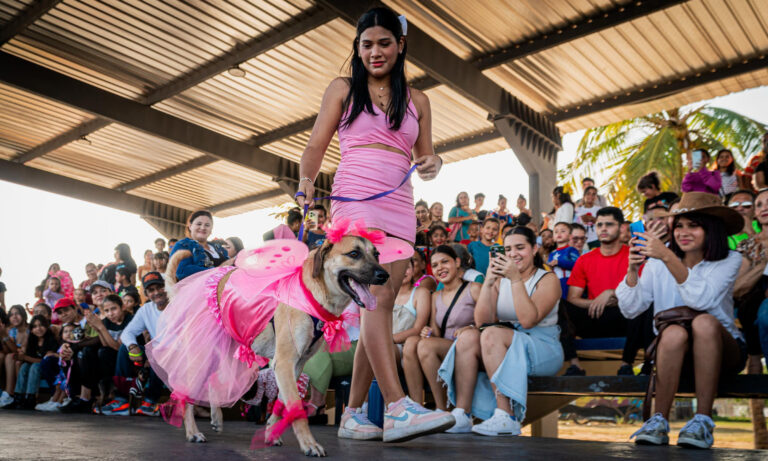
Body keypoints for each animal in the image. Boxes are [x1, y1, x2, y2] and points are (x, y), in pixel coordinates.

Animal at [164, 237, 388, 456]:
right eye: (354, 253)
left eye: (376, 254)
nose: (384, 275)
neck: (311, 292)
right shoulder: (284, 363)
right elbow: (296, 408)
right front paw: (309, 444)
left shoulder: (297, 365)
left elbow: (282, 405)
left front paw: (271, 432)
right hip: (202, 354)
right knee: (185, 392)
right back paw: (192, 432)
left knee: (212, 381)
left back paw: (216, 417)